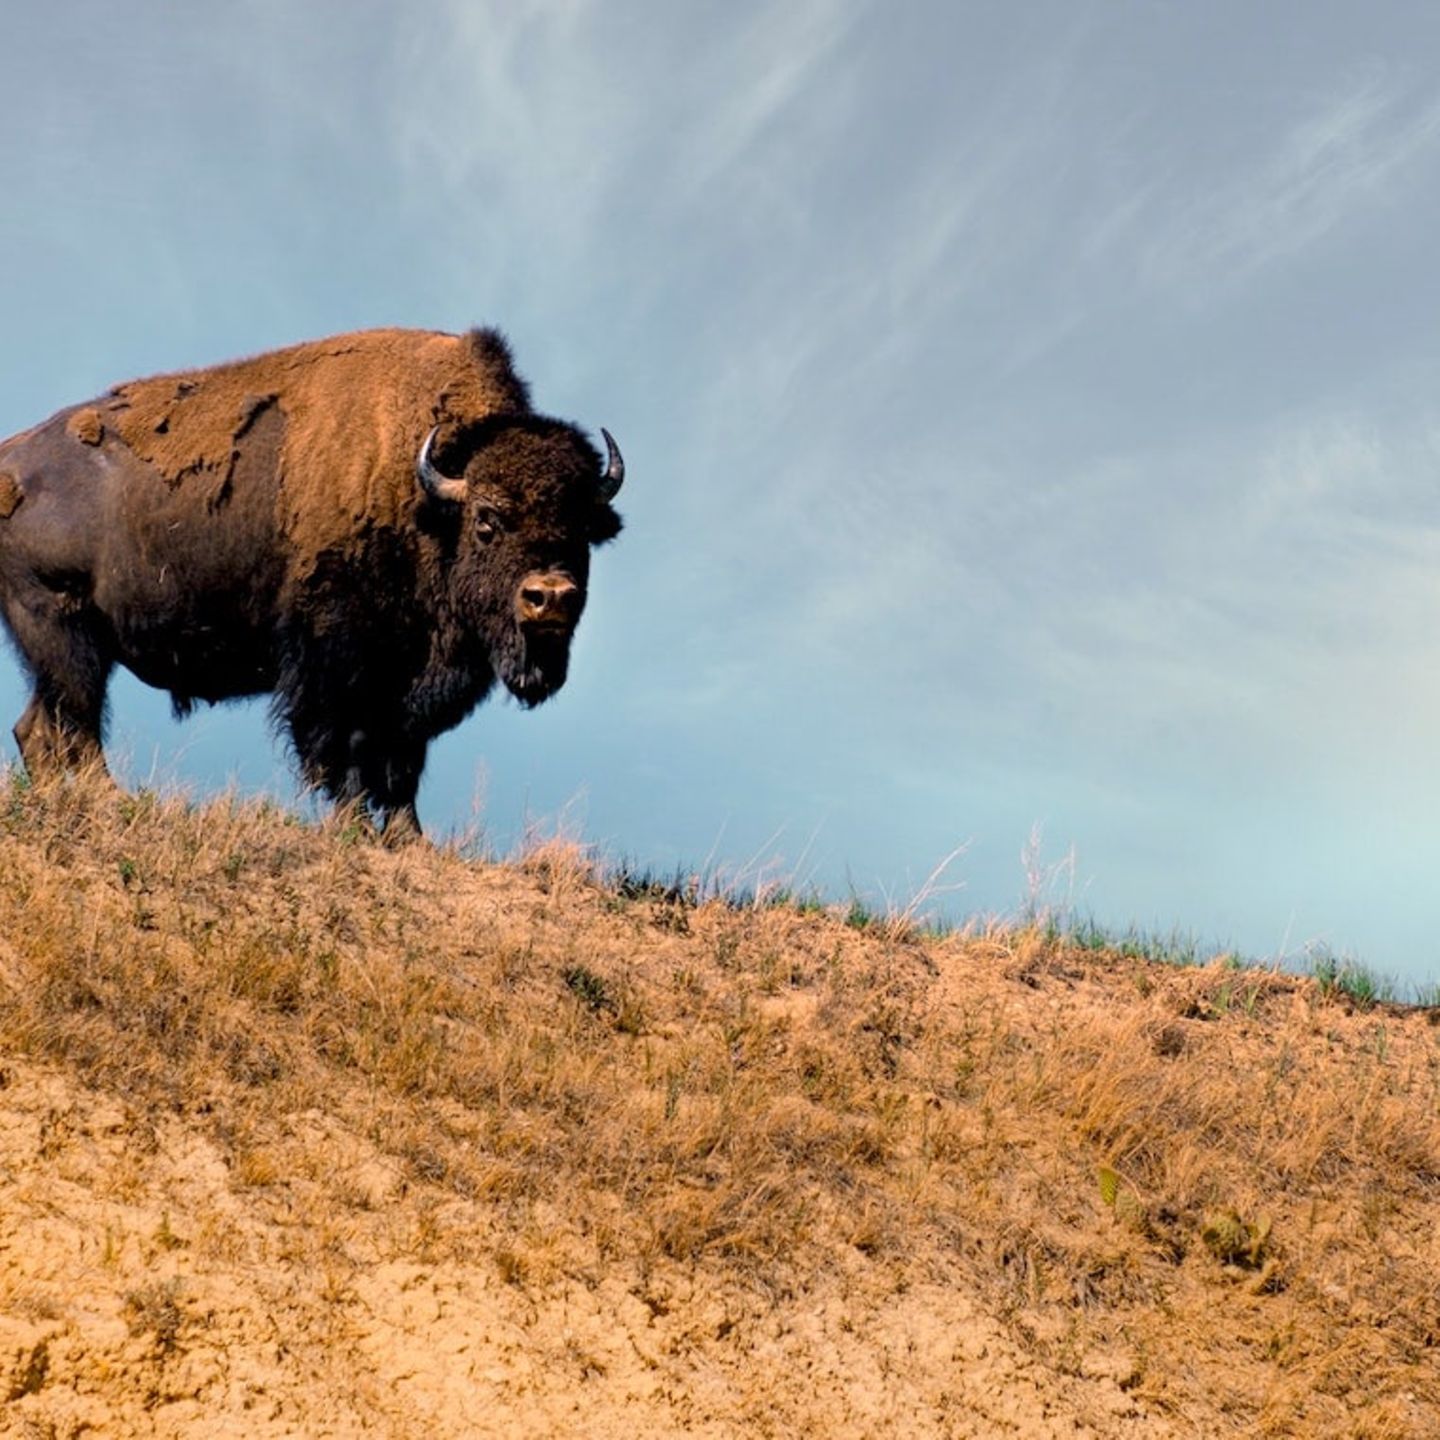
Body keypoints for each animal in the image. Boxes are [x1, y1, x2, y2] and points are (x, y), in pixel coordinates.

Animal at [0, 327, 624, 836]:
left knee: (40, 726)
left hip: (63, 644)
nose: (549, 598)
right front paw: (353, 825)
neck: (427, 500)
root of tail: (12, 461)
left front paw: (409, 839)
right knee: (78, 721)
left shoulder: (406, 683)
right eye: (488, 520)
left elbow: (402, 759)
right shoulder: (336, 660)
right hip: (63, 628)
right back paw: (112, 800)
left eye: (583, 528)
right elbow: (344, 745)